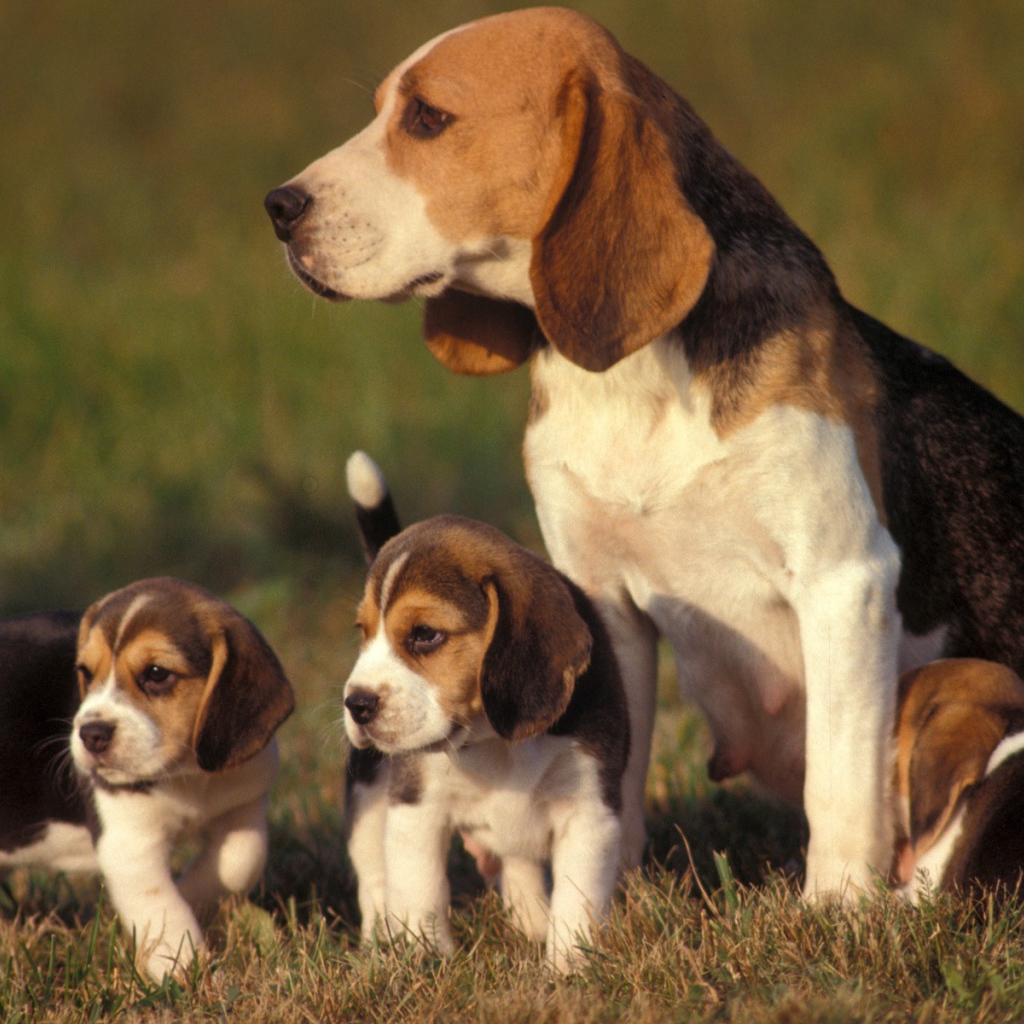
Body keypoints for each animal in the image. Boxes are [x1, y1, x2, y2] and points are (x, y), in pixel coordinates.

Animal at [0, 581, 296, 978]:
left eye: (156, 673)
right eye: (85, 671)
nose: (91, 734)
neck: (189, 774)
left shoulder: (243, 805)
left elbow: (241, 860)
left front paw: (193, 894)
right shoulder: (130, 843)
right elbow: (162, 907)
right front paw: (183, 969)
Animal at [339, 452, 626, 970]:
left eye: (425, 635)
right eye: (363, 633)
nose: (357, 703)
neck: (492, 740)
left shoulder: (589, 812)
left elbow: (577, 898)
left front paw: (569, 966)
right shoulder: (415, 808)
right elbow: (419, 890)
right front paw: (425, 959)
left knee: (519, 865)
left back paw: (532, 923)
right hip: (367, 795)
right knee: (374, 877)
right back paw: (378, 945)